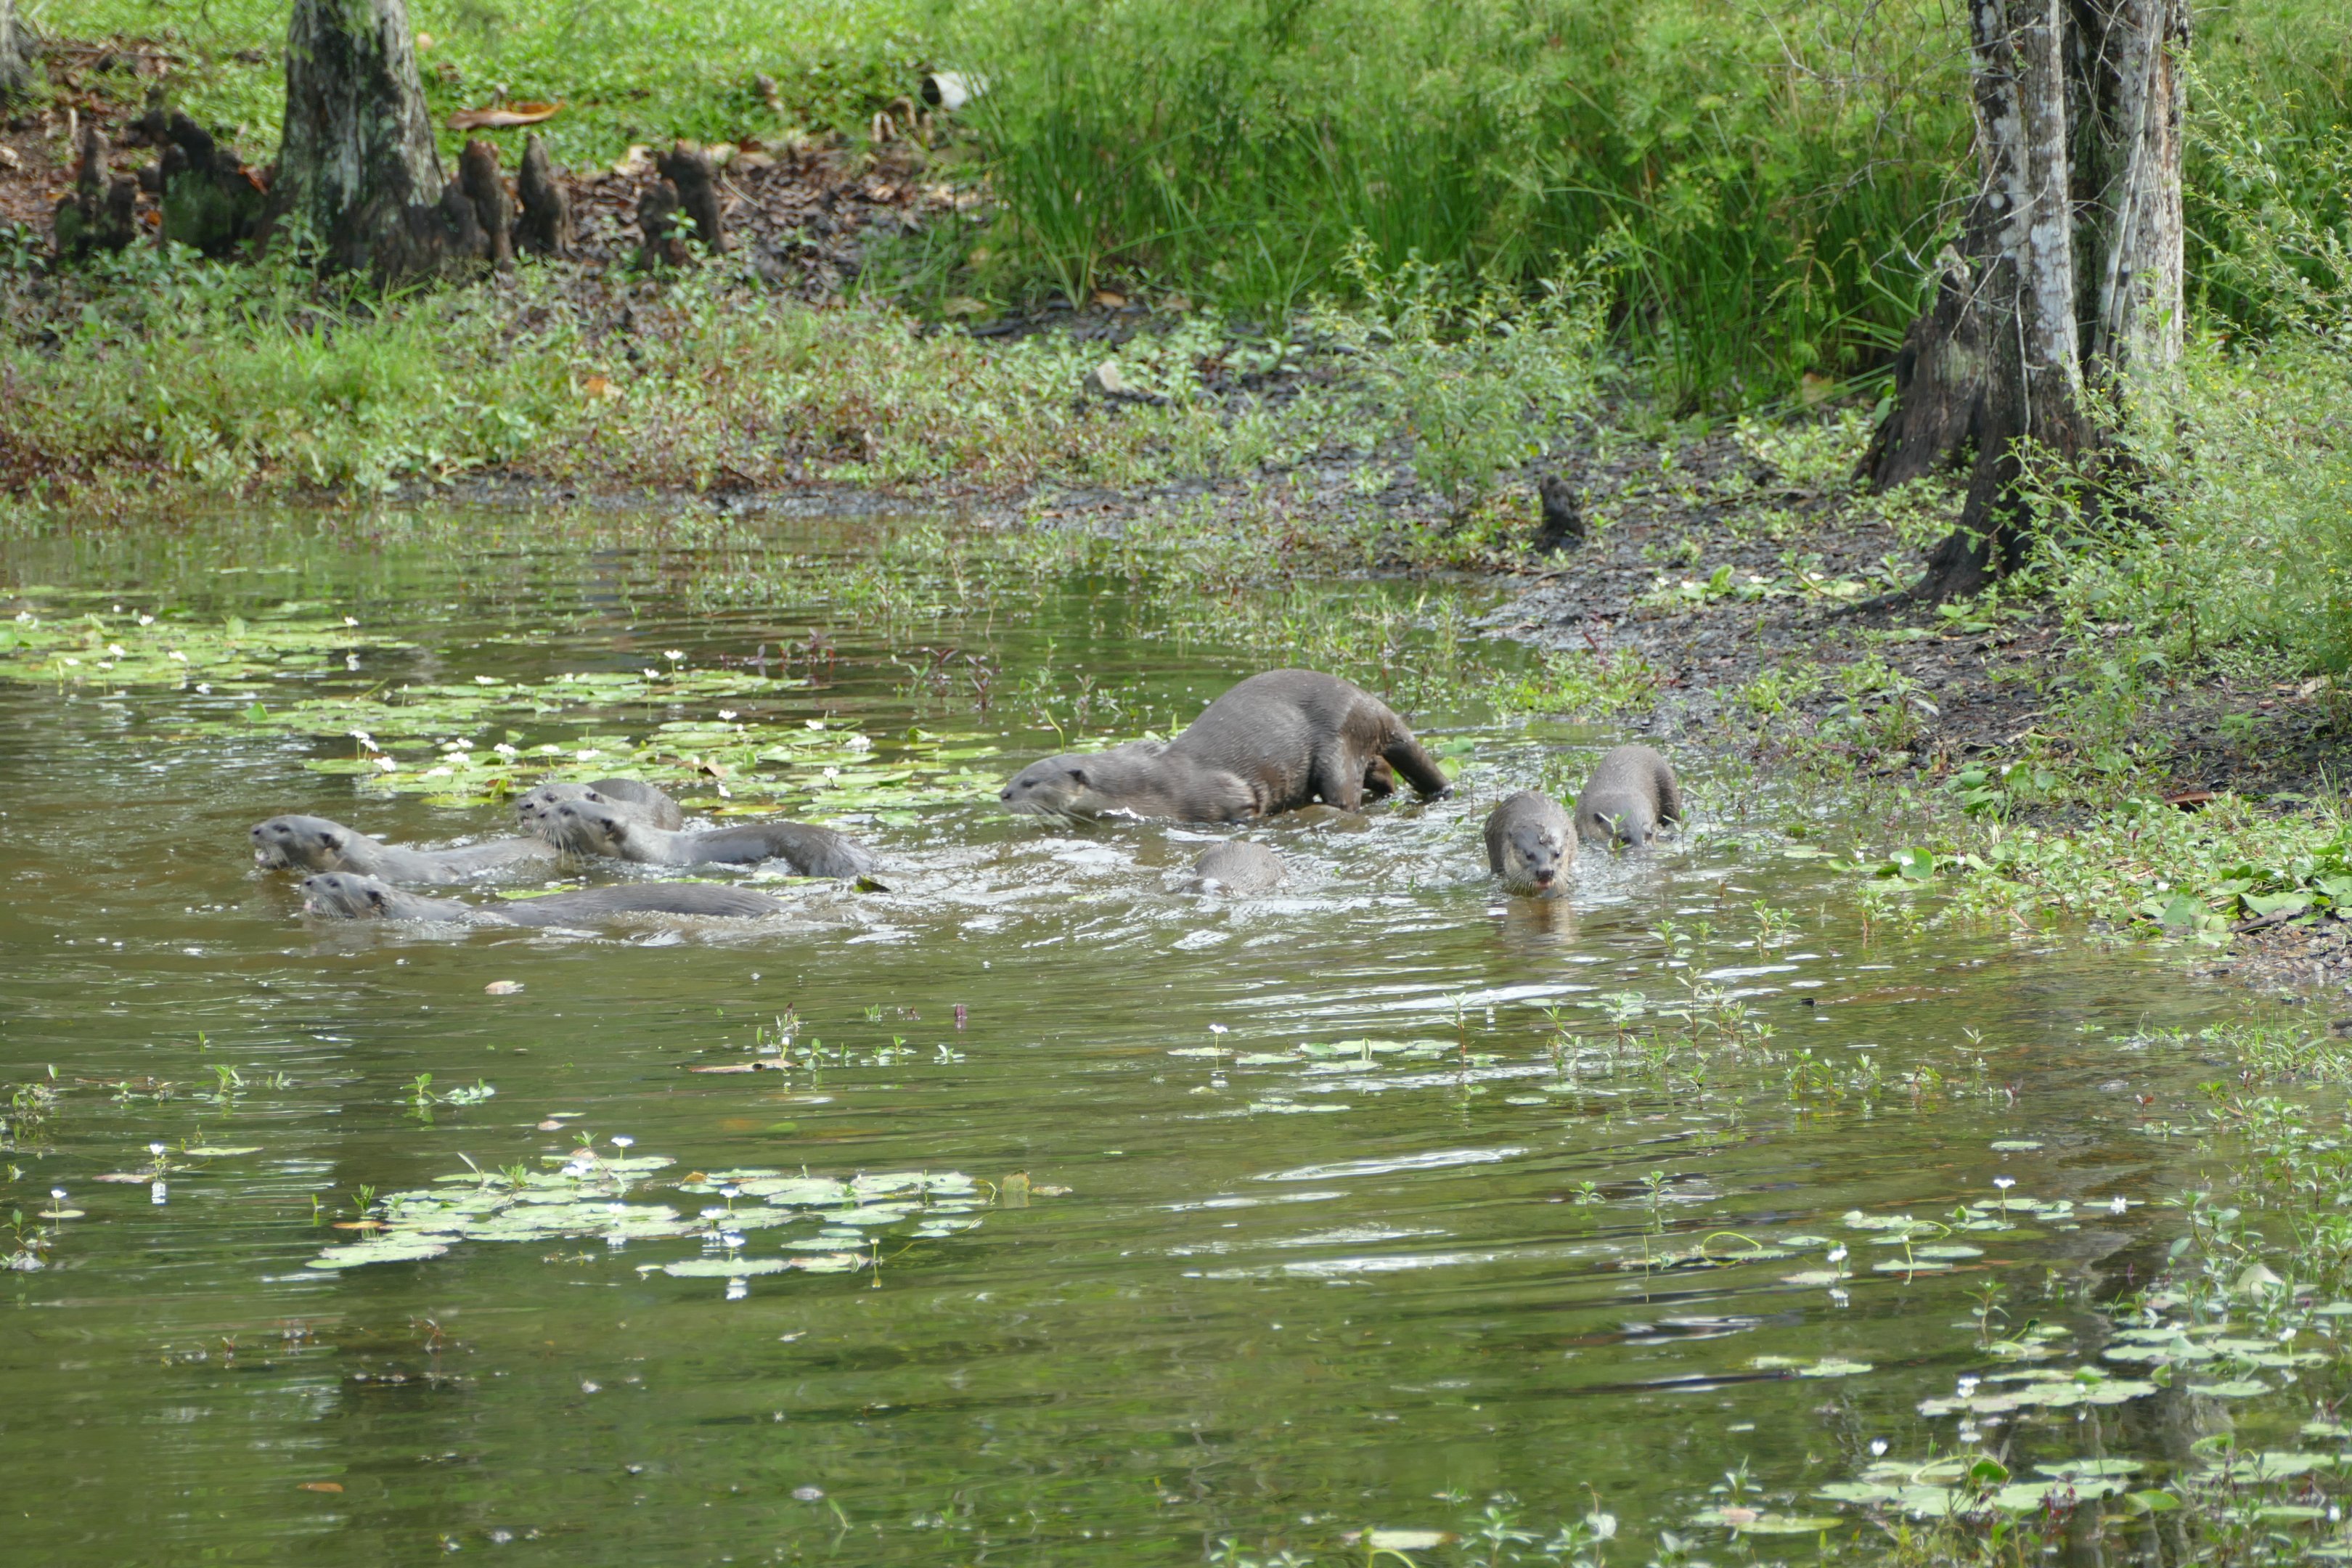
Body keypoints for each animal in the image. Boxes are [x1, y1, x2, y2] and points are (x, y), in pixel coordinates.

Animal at [1000, 669, 1450, 822]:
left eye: (1030, 783)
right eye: (1016, 776)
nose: (1002, 794)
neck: (1144, 787)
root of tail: (1371, 703)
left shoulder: (1225, 798)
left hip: (1339, 742)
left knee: (1346, 798)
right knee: (1384, 774)